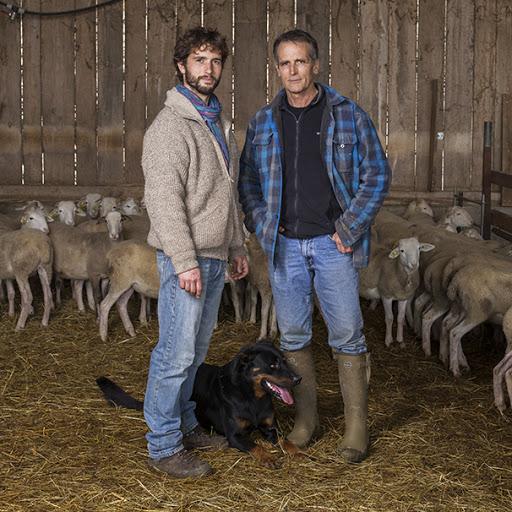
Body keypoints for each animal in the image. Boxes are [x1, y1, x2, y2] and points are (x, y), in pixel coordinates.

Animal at [97, 340, 300, 468]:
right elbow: (255, 445)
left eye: (284, 360)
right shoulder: (235, 436)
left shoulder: (271, 427)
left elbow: (285, 439)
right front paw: (267, 457)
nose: (299, 379)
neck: (251, 396)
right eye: (272, 365)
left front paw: (296, 451)